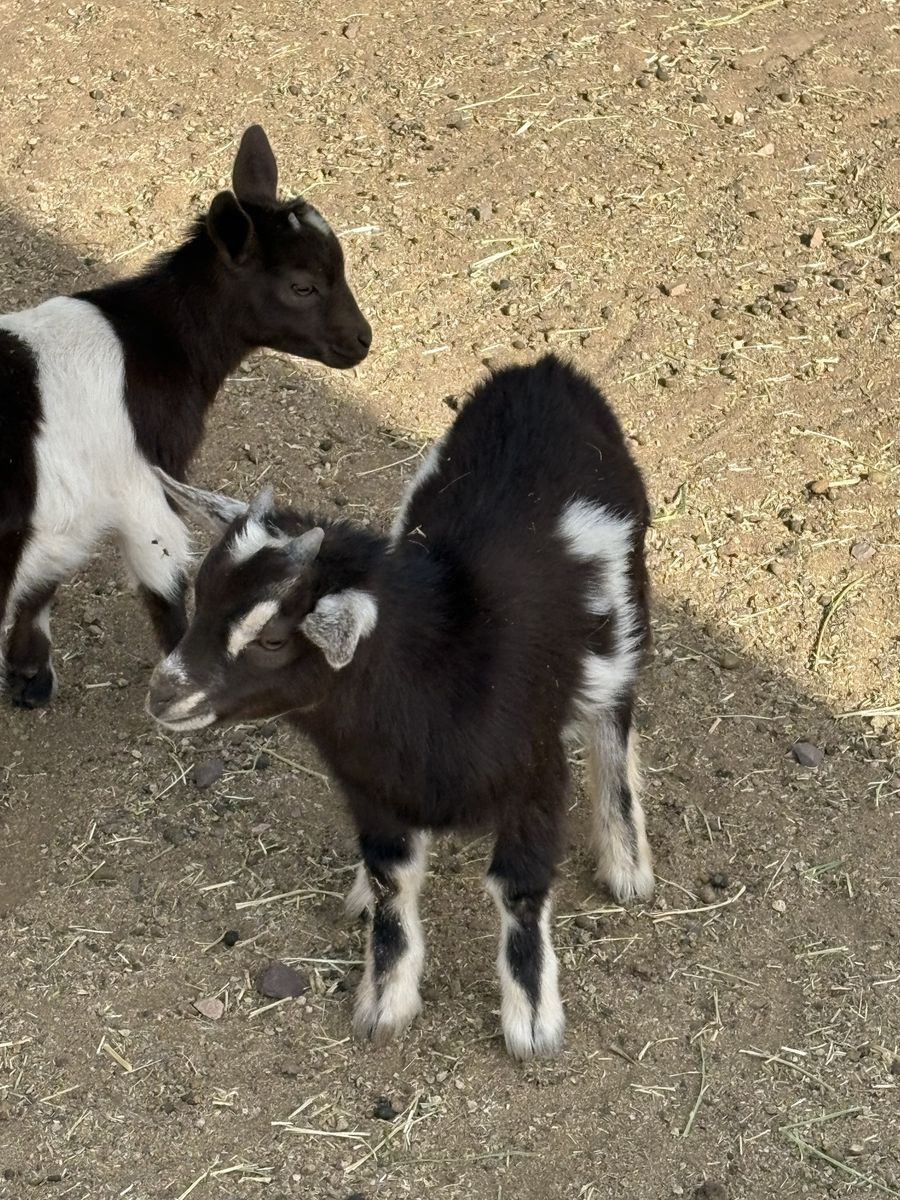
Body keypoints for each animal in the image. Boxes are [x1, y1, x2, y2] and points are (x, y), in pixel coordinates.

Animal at [0, 124, 371, 708]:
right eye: (302, 285)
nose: (362, 341)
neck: (155, 344)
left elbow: (46, 578)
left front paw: (29, 673)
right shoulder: (146, 482)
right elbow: (166, 580)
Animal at [146, 354, 654, 1060]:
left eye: (272, 638)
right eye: (201, 597)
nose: (163, 693)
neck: (446, 667)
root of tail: (545, 371)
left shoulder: (535, 778)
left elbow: (519, 887)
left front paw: (531, 1020)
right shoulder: (372, 791)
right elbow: (393, 880)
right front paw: (385, 999)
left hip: (622, 612)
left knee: (614, 720)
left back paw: (627, 860)